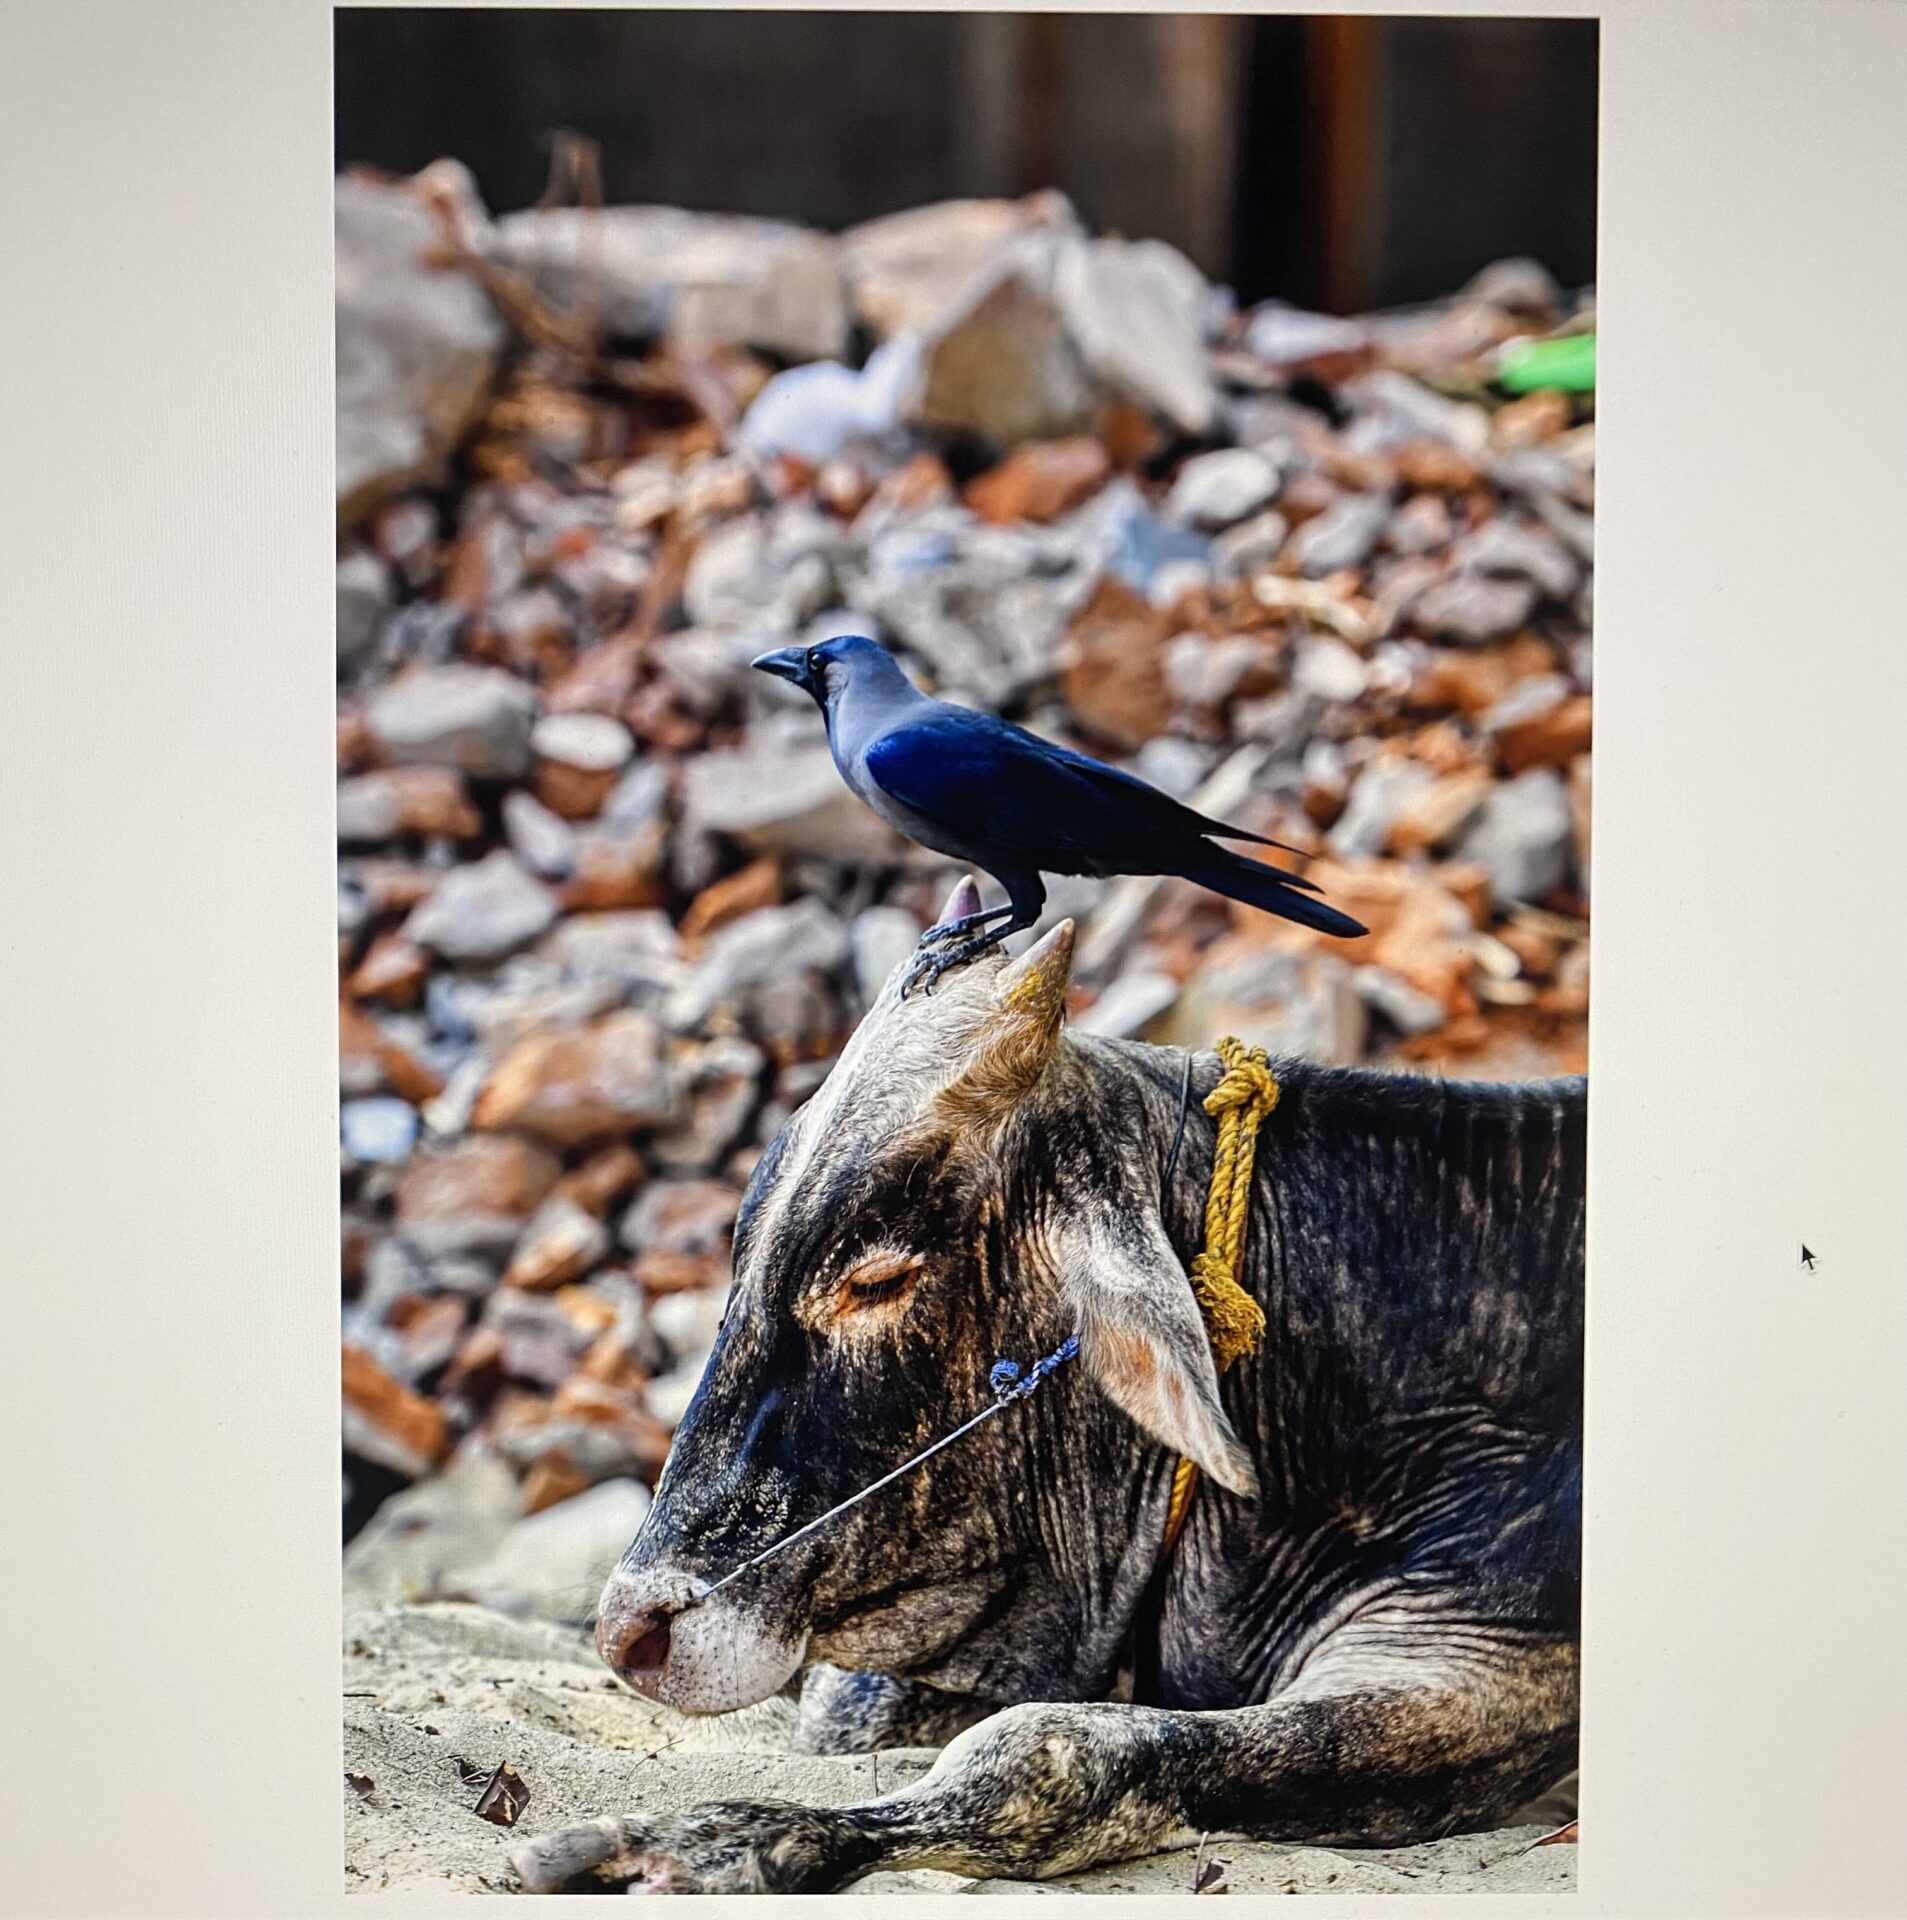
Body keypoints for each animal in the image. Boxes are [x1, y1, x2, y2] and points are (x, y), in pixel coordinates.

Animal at [511, 881, 1585, 1894]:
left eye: (876, 1278)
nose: (631, 1632)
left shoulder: (1481, 1666)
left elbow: (1047, 1750)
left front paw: (703, 1843)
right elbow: (850, 1714)